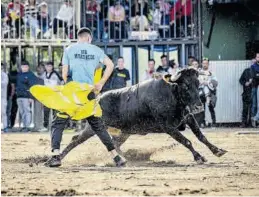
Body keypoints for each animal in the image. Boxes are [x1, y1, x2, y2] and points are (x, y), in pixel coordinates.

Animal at [58, 68, 226, 164]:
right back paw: (57, 159)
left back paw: (126, 158)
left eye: (198, 83)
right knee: (76, 140)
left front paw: (217, 150)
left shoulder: (188, 118)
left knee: (114, 142)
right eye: (185, 85)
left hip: (124, 132)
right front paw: (198, 157)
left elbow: (201, 136)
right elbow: (187, 141)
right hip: (95, 127)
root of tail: (97, 99)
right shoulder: (168, 127)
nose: (198, 106)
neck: (172, 94)